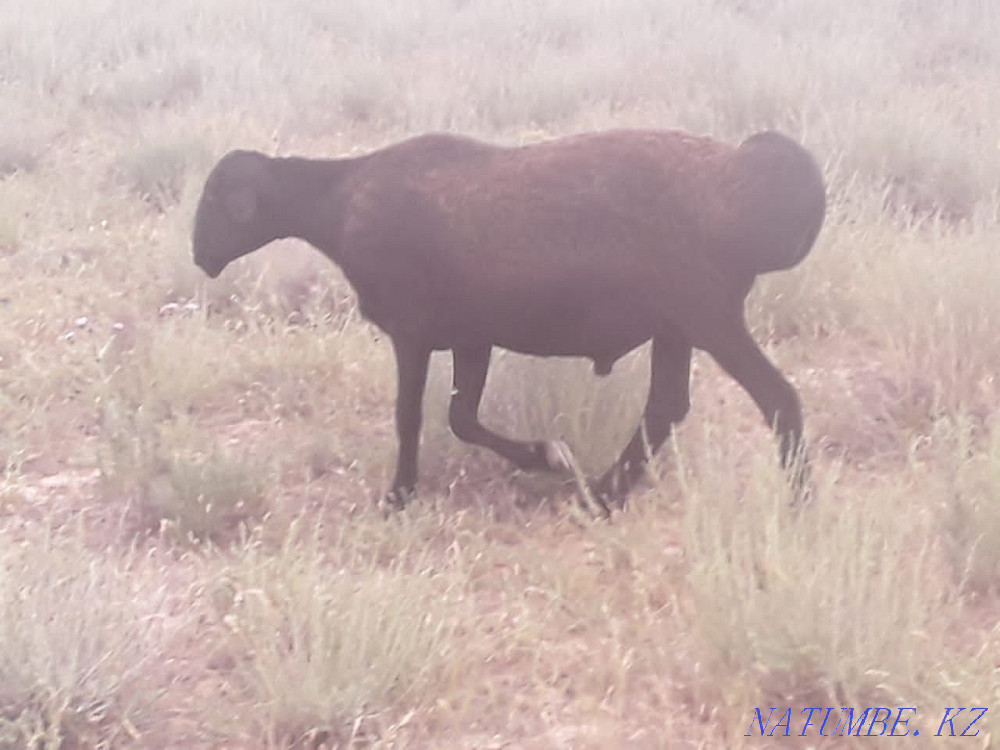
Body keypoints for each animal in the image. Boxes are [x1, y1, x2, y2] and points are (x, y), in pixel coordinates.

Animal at [192, 128, 826, 513]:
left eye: (216, 200)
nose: (198, 255)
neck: (339, 202)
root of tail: (746, 180)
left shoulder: (412, 334)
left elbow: (409, 419)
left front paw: (400, 495)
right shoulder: (472, 338)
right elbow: (462, 418)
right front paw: (547, 457)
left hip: (710, 316)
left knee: (778, 399)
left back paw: (798, 501)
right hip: (677, 327)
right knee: (666, 408)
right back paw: (602, 493)